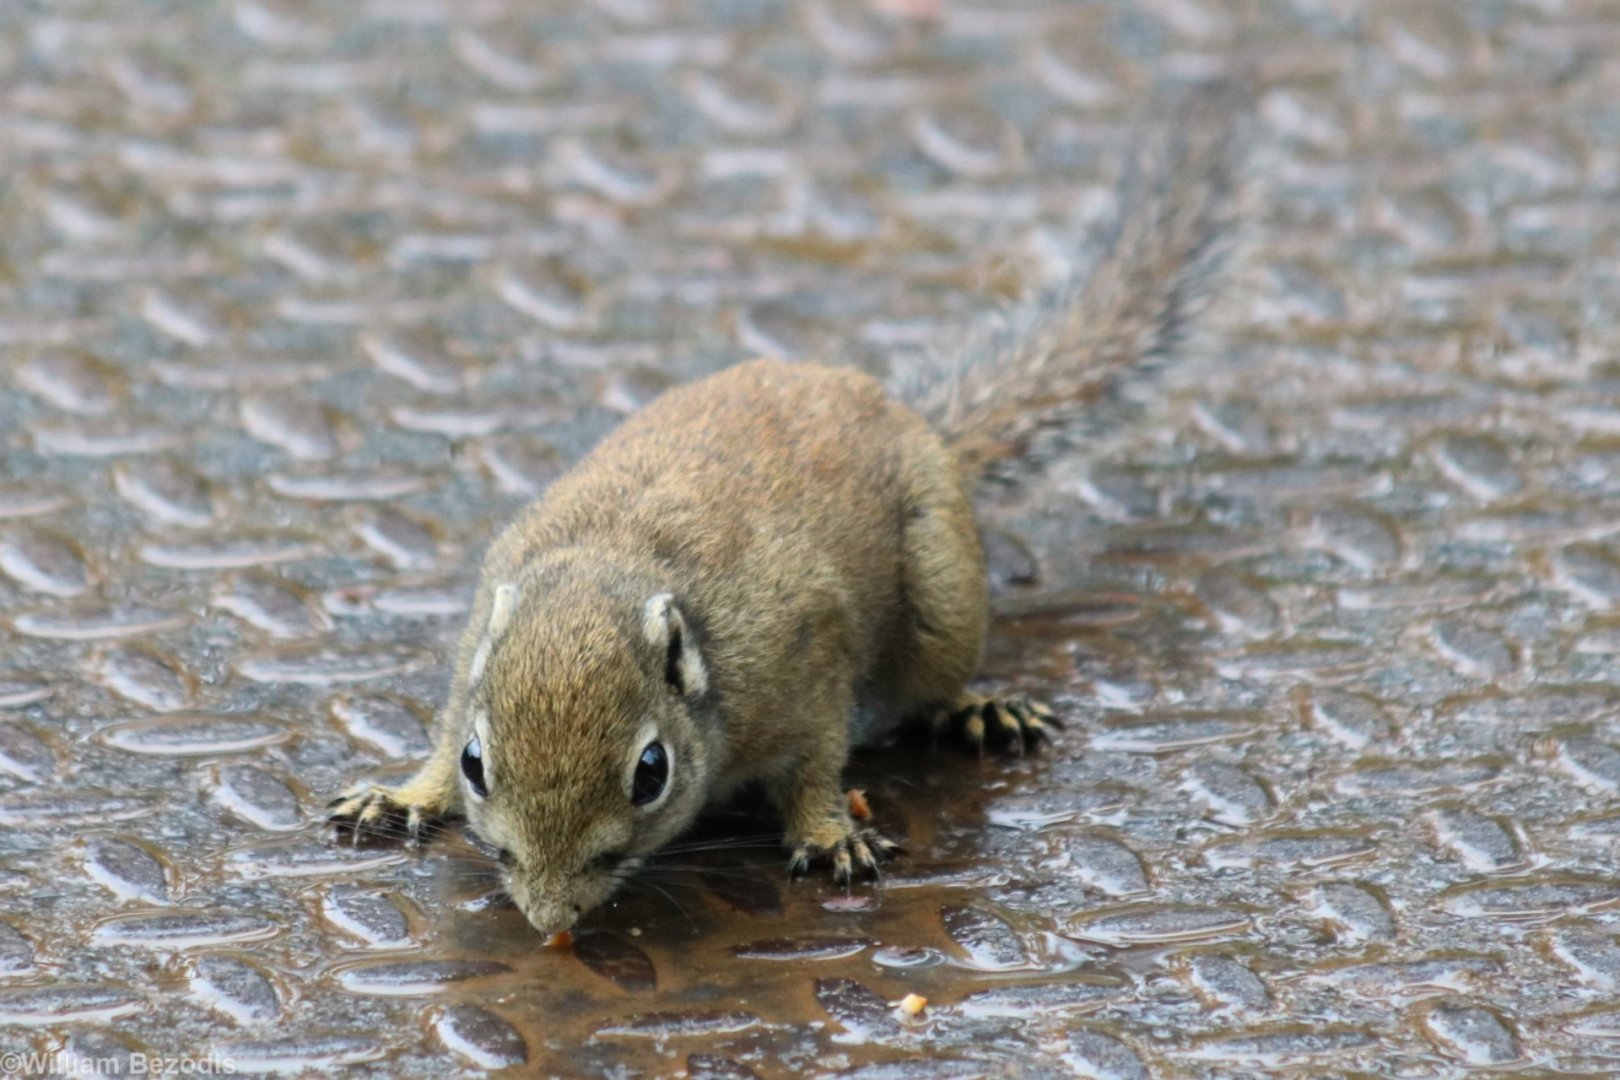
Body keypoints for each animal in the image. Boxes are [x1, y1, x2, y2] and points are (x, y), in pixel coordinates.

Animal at [327, 93, 1245, 938]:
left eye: (651, 770)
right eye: (478, 763)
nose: (551, 916)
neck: (620, 565)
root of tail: (893, 409)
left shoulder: (805, 668)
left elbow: (813, 768)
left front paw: (829, 833)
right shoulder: (472, 662)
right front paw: (404, 793)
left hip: (943, 594)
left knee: (936, 676)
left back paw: (977, 707)